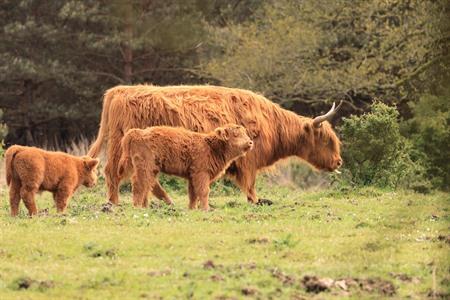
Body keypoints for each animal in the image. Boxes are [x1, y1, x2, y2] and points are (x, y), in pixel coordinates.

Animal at [118, 123, 253, 210]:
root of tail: (138, 132)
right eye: (235, 134)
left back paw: (149, 206)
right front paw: (206, 209)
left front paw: (192, 209)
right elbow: (204, 191)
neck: (211, 146)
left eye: (245, 133)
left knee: (149, 184)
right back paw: (137, 207)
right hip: (145, 167)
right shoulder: (201, 173)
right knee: (140, 184)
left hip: (152, 169)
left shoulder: (192, 176)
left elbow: (193, 194)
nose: (250, 142)